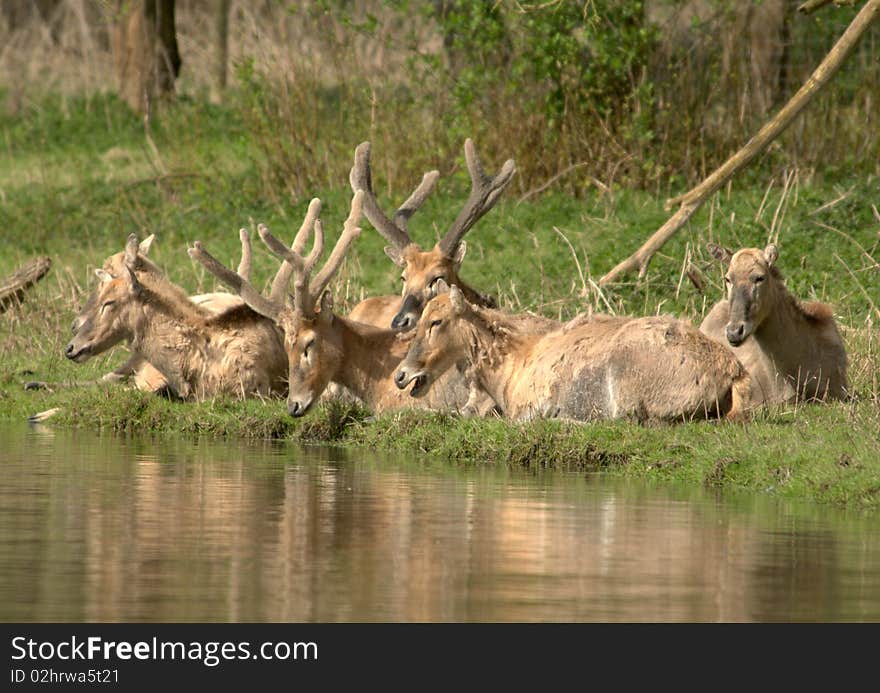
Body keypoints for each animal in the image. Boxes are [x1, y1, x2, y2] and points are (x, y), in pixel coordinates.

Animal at [398, 282, 748, 422]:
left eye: (436, 321)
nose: (401, 375)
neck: (508, 372)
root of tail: (733, 373)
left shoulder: (527, 404)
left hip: (629, 385)